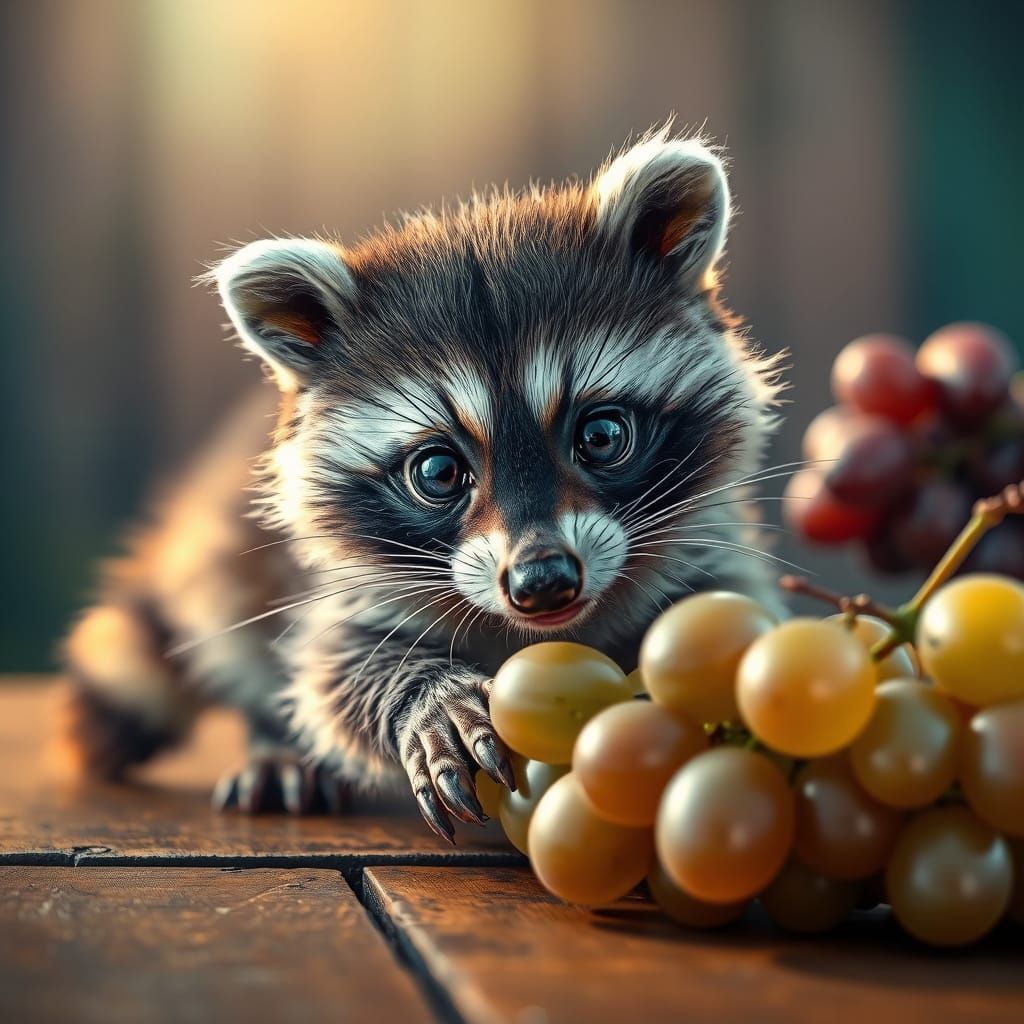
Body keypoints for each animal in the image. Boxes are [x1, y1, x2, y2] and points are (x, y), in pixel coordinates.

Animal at [61, 128, 786, 841]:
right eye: (438, 472)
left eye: (602, 436)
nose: (542, 582)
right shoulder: (343, 580)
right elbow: (333, 666)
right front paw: (427, 695)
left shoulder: (708, 538)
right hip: (220, 557)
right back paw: (276, 745)